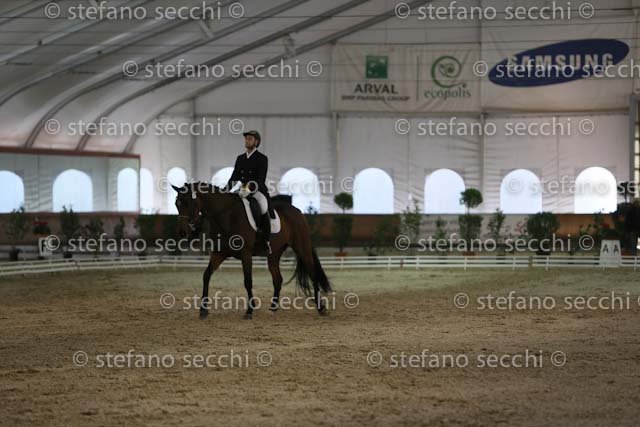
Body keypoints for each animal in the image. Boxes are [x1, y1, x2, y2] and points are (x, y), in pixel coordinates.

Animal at [172, 182, 332, 320]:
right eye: (177, 204)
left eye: (189, 203)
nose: (182, 232)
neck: (226, 216)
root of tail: (297, 211)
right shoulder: (219, 253)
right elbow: (206, 276)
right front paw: (203, 310)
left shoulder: (246, 254)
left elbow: (247, 281)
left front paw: (249, 310)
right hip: (274, 254)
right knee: (278, 279)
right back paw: (273, 308)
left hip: (302, 248)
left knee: (313, 274)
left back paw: (321, 308)